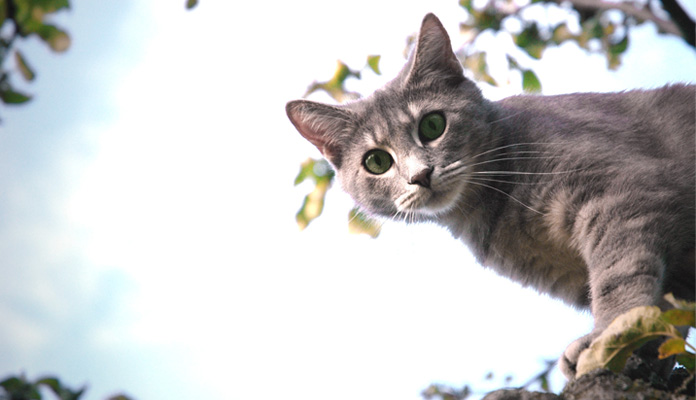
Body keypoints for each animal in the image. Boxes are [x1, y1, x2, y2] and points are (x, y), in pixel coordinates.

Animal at [284, 14, 696, 380]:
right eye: (377, 161)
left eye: (432, 124)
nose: (421, 175)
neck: (490, 209)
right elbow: (666, 306)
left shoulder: (623, 187)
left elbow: (618, 275)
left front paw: (610, 337)